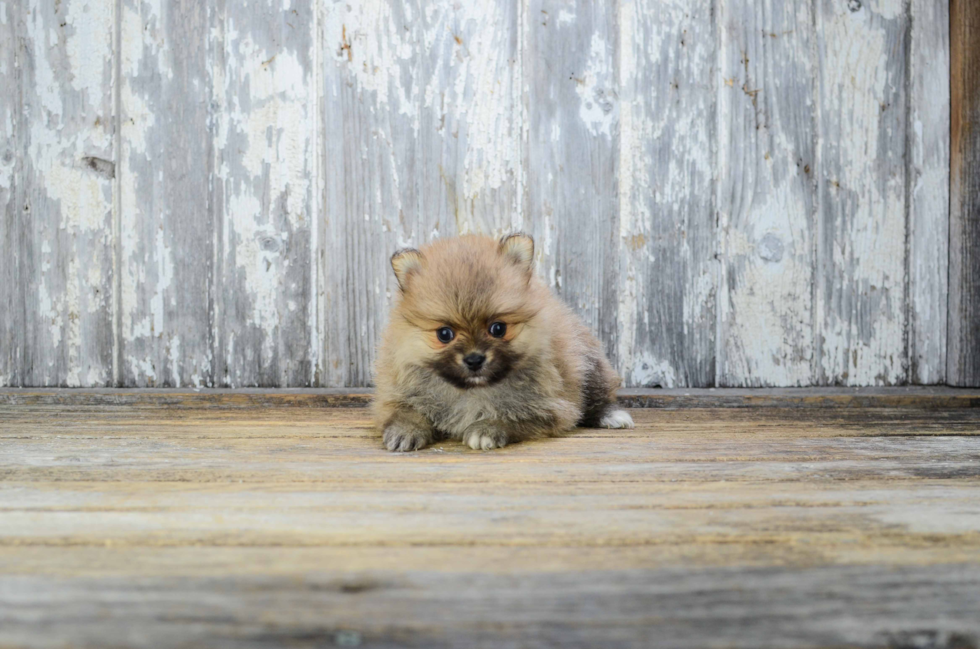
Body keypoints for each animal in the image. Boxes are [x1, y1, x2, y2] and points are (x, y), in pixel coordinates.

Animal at [370, 233, 636, 450]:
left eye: (498, 328)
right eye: (444, 334)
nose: (474, 359)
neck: (473, 390)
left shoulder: (549, 406)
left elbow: (513, 416)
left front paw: (487, 429)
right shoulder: (397, 391)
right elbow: (406, 411)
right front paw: (406, 431)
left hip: (590, 364)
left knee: (599, 395)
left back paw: (611, 416)